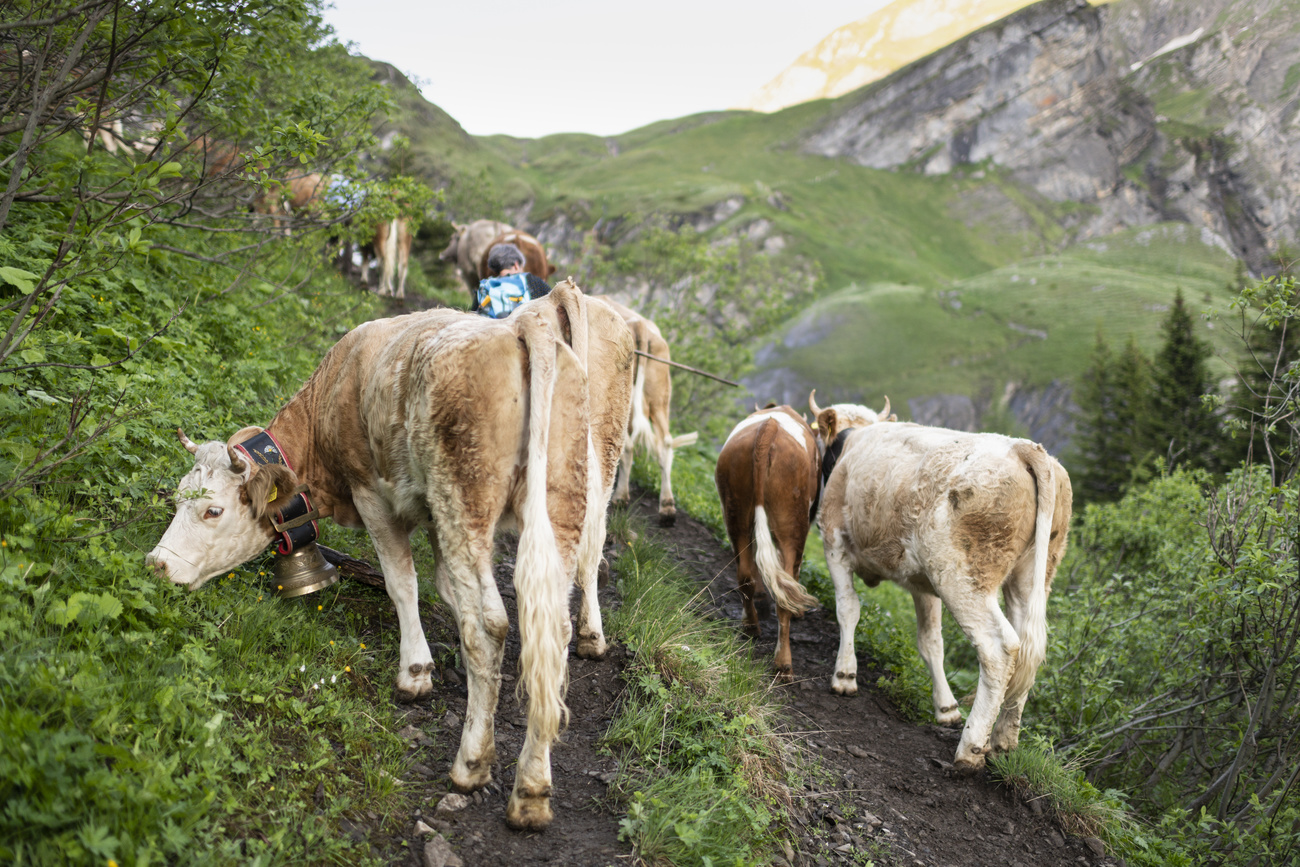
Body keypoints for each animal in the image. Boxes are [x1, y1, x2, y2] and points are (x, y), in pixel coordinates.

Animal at [145, 282, 634, 830]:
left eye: (213, 510)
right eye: (179, 496)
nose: (157, 564)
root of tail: (532, 321)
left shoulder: (372, 494)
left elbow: (404, 583)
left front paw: (416, 673)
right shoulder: (437, 518)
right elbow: (445, 586)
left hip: (465, 498)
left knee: (490, 625)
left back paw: (471, 764)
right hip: (566, 496)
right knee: (557, 618)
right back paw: (533, 785)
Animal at [600, 299, 698, 525]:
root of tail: (640, 324)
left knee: (625, 443)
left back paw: (620, 497)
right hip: (659, 399)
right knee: (665, 443)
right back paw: (667, 508)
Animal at [715, 405, 820, 680]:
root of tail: (769, 428)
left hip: (735, 512)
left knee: (745, 574)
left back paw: (750, 625)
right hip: (793, 524)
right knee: (786, 587)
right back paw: (783, 664)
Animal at [810, 392, 1072, 772]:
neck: (852, 442)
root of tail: (1022, 447)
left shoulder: (834, 541)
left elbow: (847, 608)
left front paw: (844, 676)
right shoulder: (922, 584)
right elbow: (931, 642)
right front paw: (945, 707)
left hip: (962, 577)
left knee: (1000, 648)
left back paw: (971, 748)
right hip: (1028, 577)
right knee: (1027, 649)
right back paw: (1003, 742)